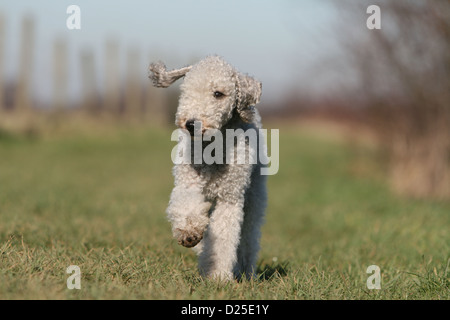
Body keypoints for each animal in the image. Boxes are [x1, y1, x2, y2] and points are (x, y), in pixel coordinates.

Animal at [149, 55, 266, 280]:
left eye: (218, 93)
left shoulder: (229, 197)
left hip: (254, 198)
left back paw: (246, 271)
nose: (191, 124)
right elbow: (187, 206)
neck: (213, 149)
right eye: (185, 90)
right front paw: (189, 233)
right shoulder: (188, 182)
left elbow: (223, 237)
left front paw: (218, 276)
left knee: (249, 236)